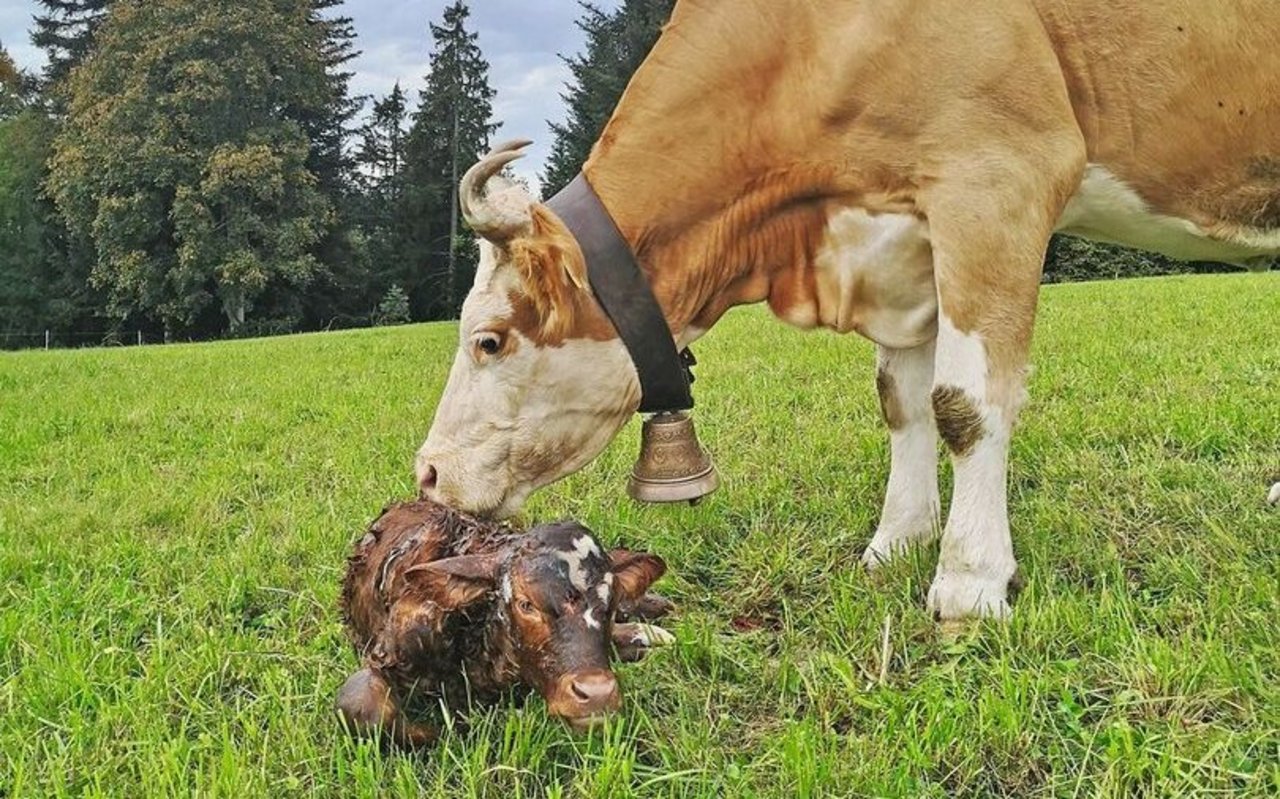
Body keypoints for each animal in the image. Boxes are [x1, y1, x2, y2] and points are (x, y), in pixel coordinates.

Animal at [335, 501, 675, 747]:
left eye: (612, 601)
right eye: (526, 604)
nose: (597, 693)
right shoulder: (391, 651)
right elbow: (360, 707)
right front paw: (435, 733)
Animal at [414, 0, 1274, 622]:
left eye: (489, 339)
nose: (426, 472)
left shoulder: (998, 180)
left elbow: (965, 404)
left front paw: (969, 580)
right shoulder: (901, 244)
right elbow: (902, 401)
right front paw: (898, 539)